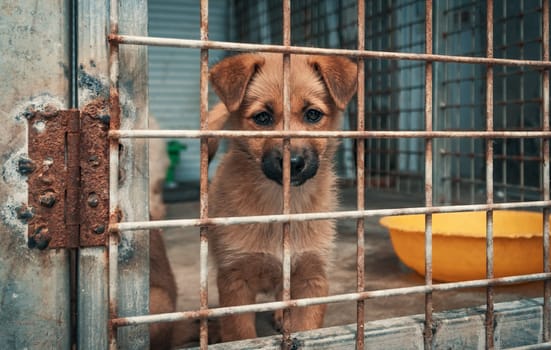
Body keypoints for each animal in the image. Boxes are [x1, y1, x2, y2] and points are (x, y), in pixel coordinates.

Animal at [208, 53, 358, 340]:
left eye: (313, 114)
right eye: (263, 117)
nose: (294, 163)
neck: (281, 202)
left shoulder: (312, 276)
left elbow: (308, 331)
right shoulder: (235, 279)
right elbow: (240, 335)